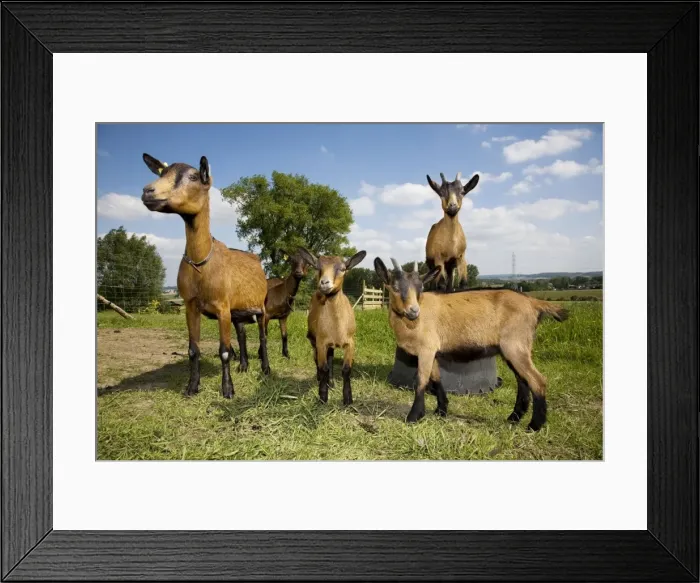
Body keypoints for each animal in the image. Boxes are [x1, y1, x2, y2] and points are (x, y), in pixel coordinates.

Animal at [141, 153, 271, 399]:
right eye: (162, 173)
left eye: (194, 176)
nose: (148, 191)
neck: (201, 266)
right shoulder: (191, 305)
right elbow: (193, 349)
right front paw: (192, 387)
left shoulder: (222, 307)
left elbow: (225, 351)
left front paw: (228, 390)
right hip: (237, 310)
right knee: (242, 335)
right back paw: (243, 366)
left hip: (261, 307)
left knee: (262, 336)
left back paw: (265, 369)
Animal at [297, 248, 367, 405]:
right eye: (317, 267)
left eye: (342, 268)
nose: (324, 283)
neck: (337, 327)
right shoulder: (321, 342)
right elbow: (323, 367)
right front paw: (323, 396)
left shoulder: (351, 343)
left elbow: (346, 369)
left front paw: (347, 398)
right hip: (314, 340)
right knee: (317, 360)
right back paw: (321, 380)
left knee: (330, 358)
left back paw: (332, 382)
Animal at [374, 258, 568, 430]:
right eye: (395, 288)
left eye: (420, 288)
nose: (413, 311)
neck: (412, 323)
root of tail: (533, 303)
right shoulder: (432, 352)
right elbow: (436, 379)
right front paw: (441, 411)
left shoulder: (426, 349)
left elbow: (421, 380)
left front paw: (414, 416)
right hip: (513, 350)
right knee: (523, 382)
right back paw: (514, 418)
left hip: (515, 345)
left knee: (537, 380)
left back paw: (534, 425)